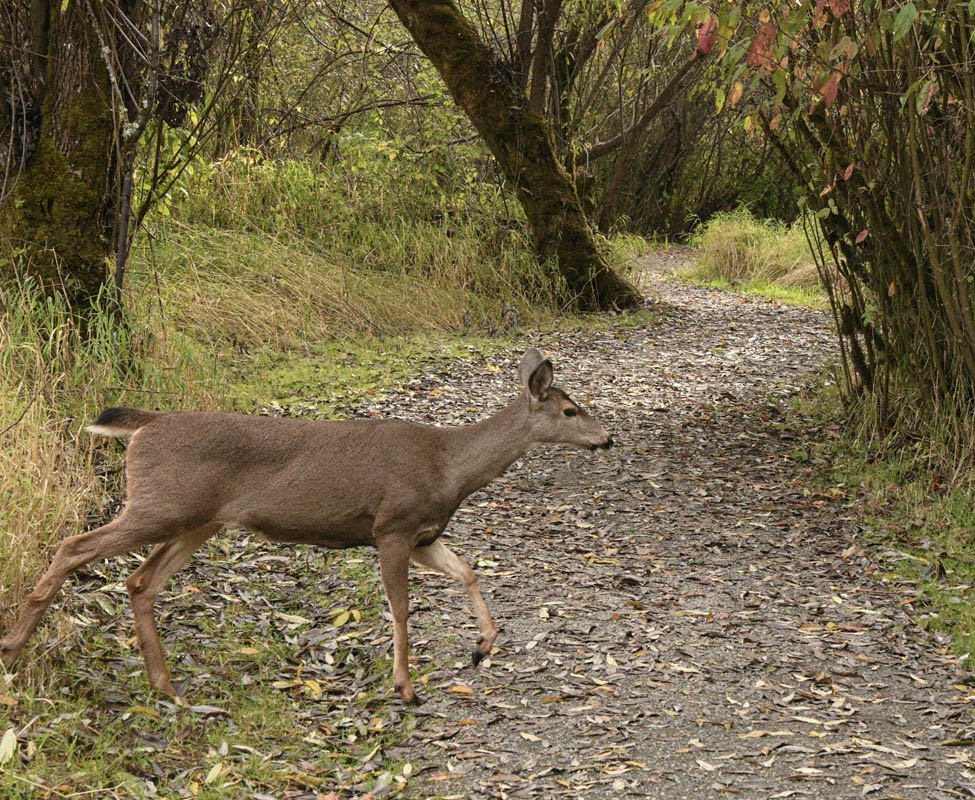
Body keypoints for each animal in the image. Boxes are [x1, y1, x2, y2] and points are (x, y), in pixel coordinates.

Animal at [0, 348, 613, 704]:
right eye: (570, 411)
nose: (606, 439)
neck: (448, 466)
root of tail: (146, 424)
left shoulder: (424, 535)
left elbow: (466, 571)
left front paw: (482, 647)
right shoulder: (390, 524)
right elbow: (400, 608)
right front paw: (405, 688)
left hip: (197, 519)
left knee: (139, 580)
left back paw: (165, 686)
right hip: (161, 504)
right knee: (75, 545)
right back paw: (12, 646)